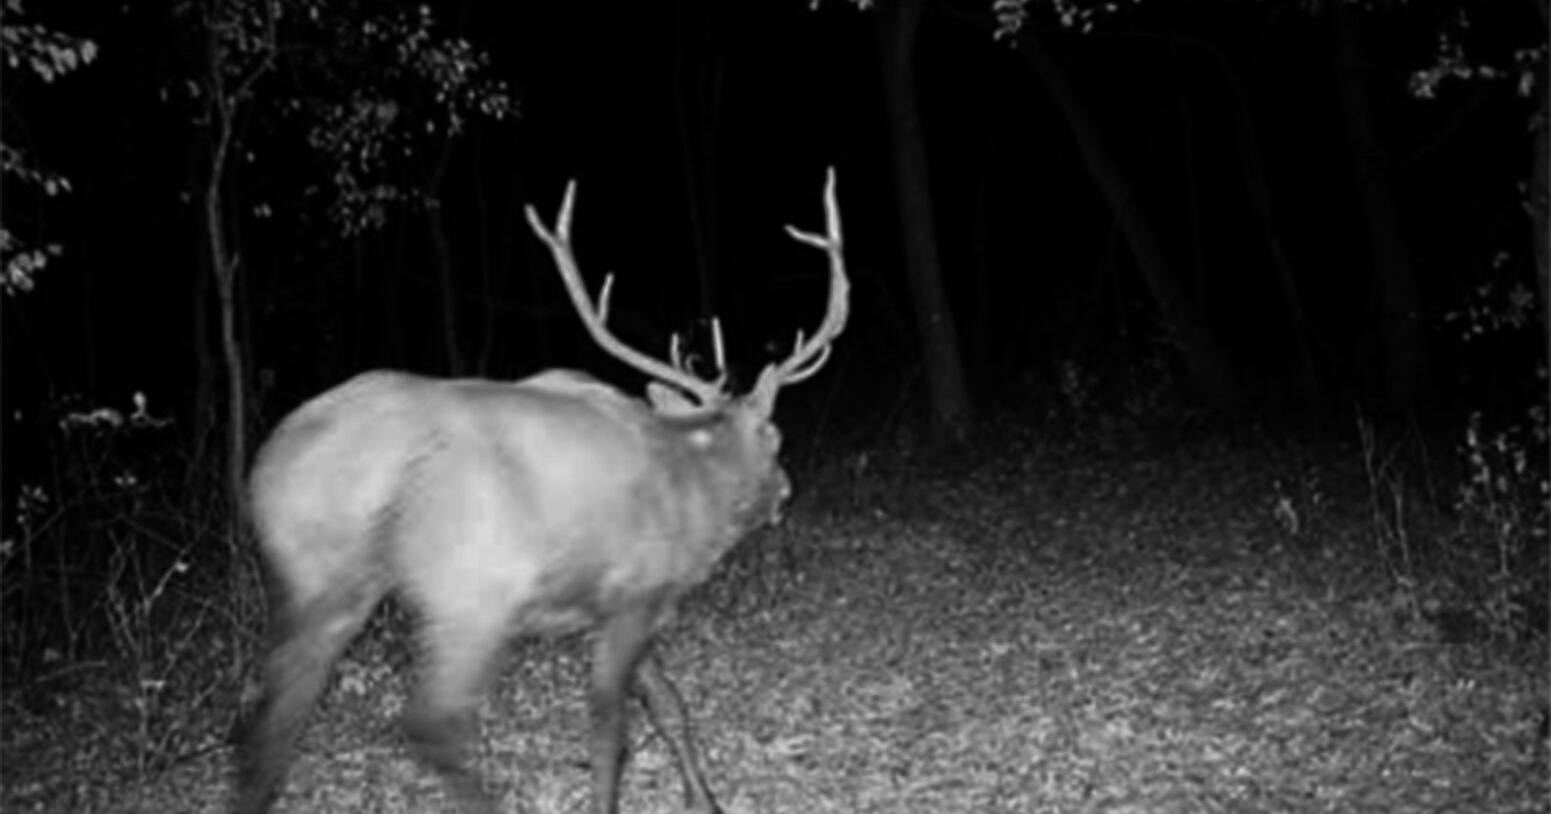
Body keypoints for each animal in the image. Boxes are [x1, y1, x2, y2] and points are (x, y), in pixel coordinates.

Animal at [234, 168, 848, 814]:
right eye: (775, 435)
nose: (784, 490)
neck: (694, 494)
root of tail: (268, 466)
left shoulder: (609, 608)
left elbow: (669, 707)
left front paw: (706, 801)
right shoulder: (636, 591)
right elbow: (610, 733)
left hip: (322, 581)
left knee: (270, 727)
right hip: (470, 587)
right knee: (430, 726)